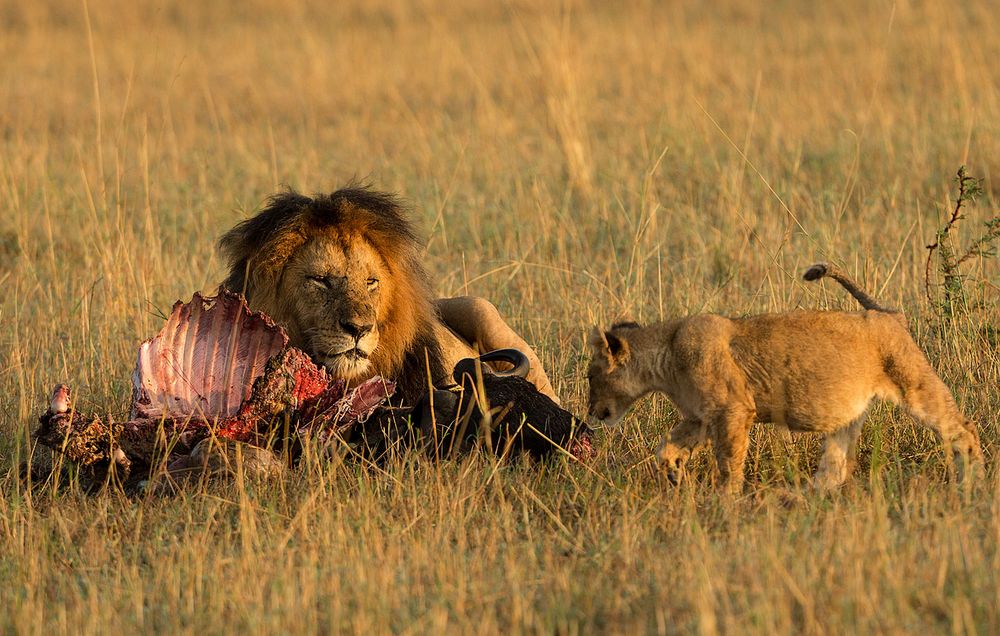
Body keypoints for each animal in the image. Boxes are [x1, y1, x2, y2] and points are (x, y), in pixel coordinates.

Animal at [584, 264, 984, 492]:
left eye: (591, 377)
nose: (590, 412)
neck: (666, 354)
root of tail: (888, 312)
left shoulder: (733, 410)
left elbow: (729, 463)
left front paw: (726, 505)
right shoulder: (702, 416)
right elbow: (667, 445)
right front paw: (672, 473)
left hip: (914, 383)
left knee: (963, 428)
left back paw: (973, 485)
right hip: (849, 416)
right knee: (835, 468)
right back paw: (808, 500)